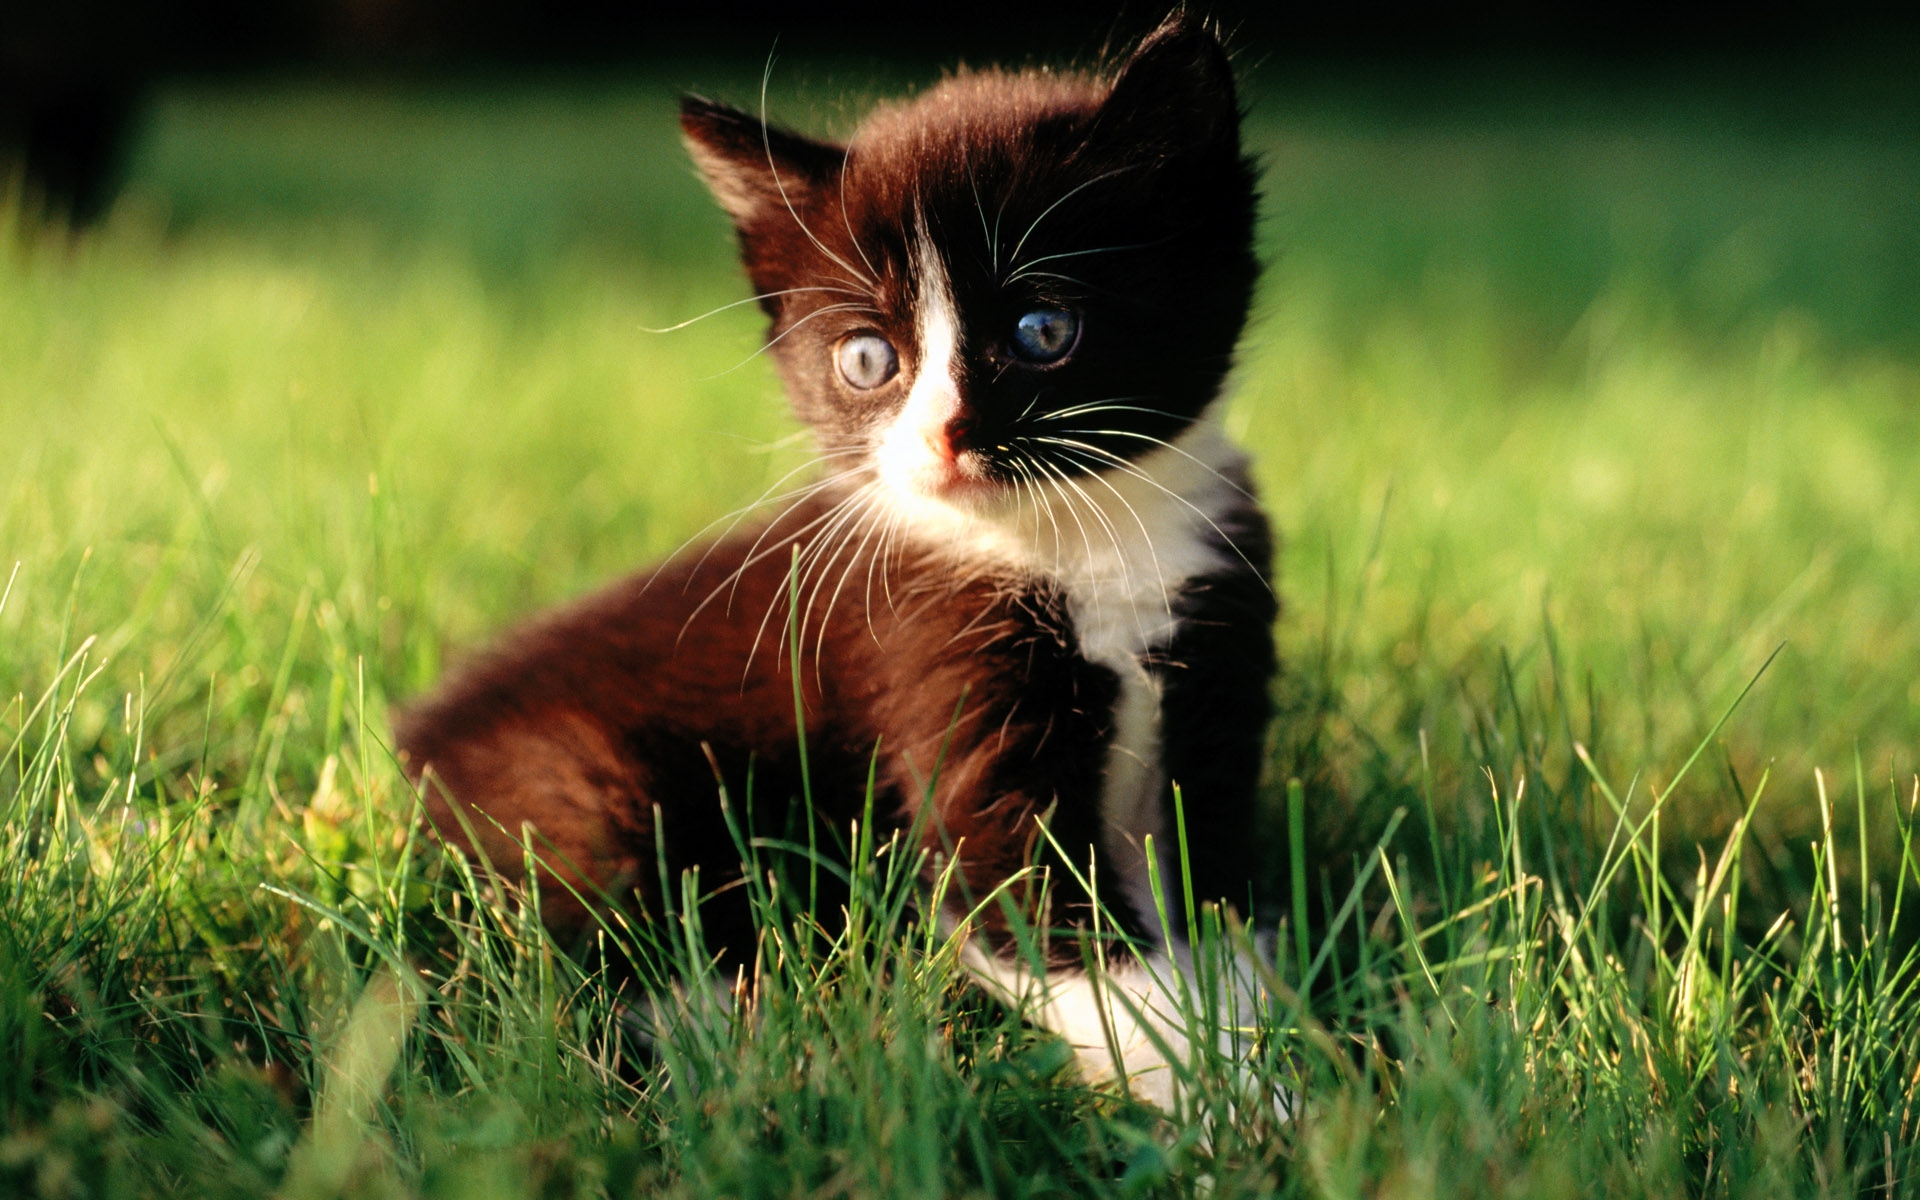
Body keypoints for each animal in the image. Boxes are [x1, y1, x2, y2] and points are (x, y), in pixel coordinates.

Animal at [397, 16, 1274, 1105]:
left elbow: (1224, 907)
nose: (943, 436)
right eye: (867, 360)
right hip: (566, 779)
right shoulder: (932, 666)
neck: (1082, 541)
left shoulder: (1221, 640)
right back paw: (764, 1052)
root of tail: (419, 737)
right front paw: (1231, 1103)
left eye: (1042, 329)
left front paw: (1279, 1049)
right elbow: (1053, 931)